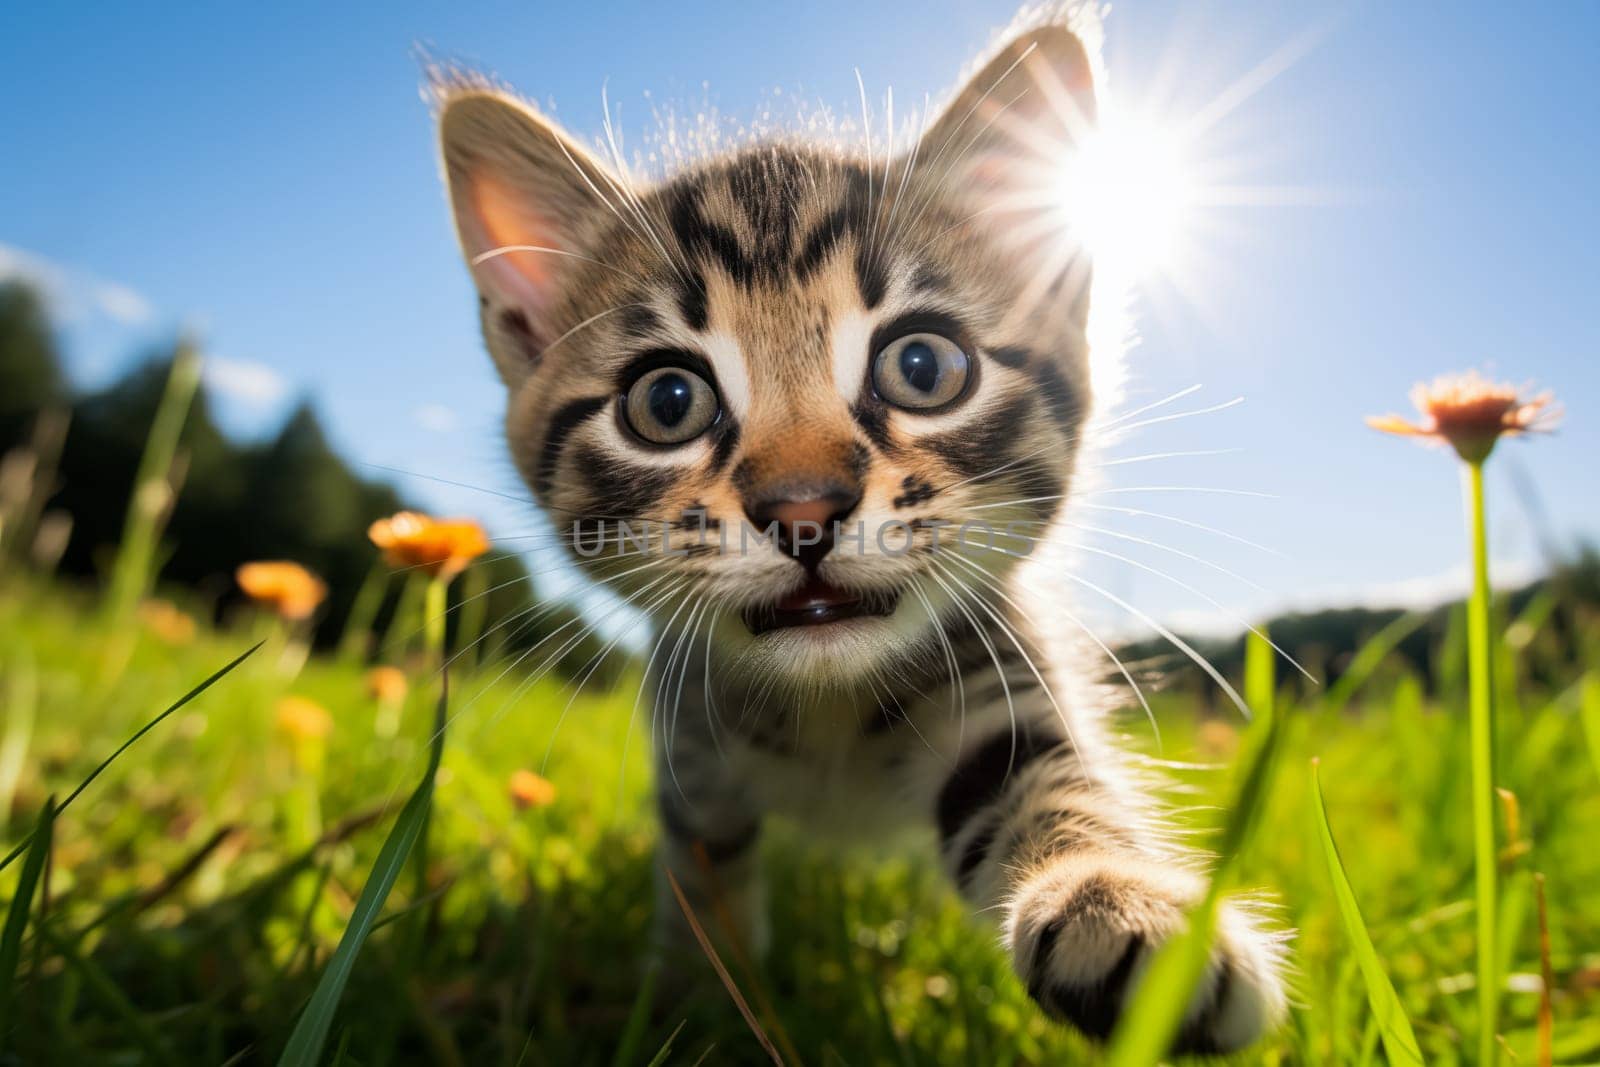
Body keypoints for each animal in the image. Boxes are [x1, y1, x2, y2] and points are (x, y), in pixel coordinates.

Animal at [435, 12, 1286, 1055]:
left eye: (923, 367)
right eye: (666, 401)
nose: (804, 509)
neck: (824, 713)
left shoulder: (996, 671)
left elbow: (1049, 782)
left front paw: (1120, 907)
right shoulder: (691, 758)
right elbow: (703, 877)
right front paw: (700, 1006)